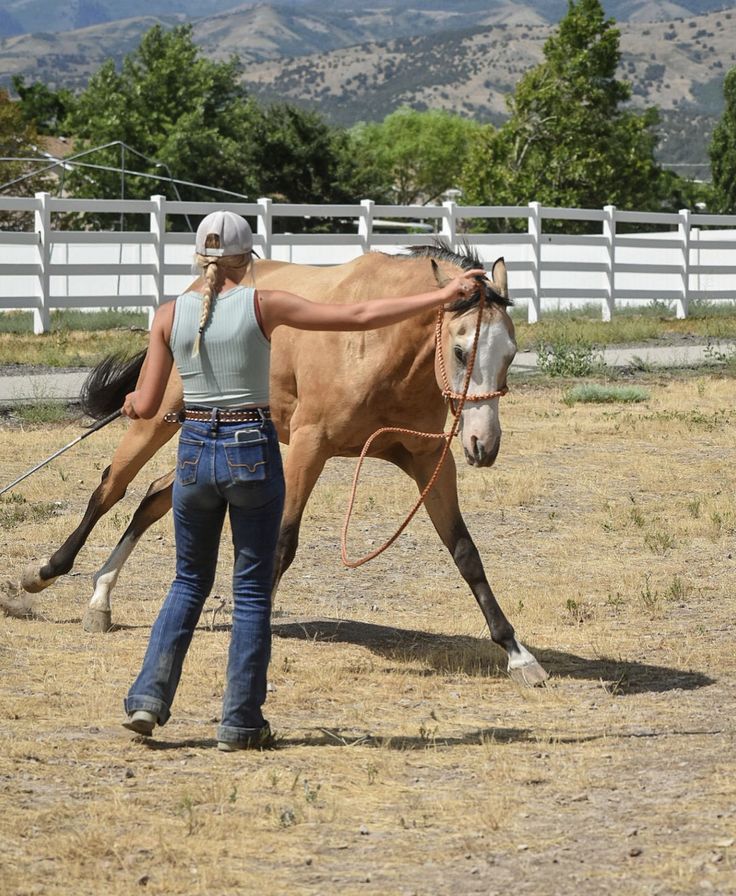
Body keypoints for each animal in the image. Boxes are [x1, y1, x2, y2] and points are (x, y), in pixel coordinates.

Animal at [20, 245, 548, 688]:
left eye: (510, 353)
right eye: (460, 350)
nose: (484, 444)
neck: (378, 344)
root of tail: (188, 298)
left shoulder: (428, 461)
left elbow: (465, 552)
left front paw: (517, 653)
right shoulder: (307, 450)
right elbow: (281, 546)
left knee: (151, 497)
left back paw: (101, 597)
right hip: (154, 418)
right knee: (110, 489)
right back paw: (49, 576)